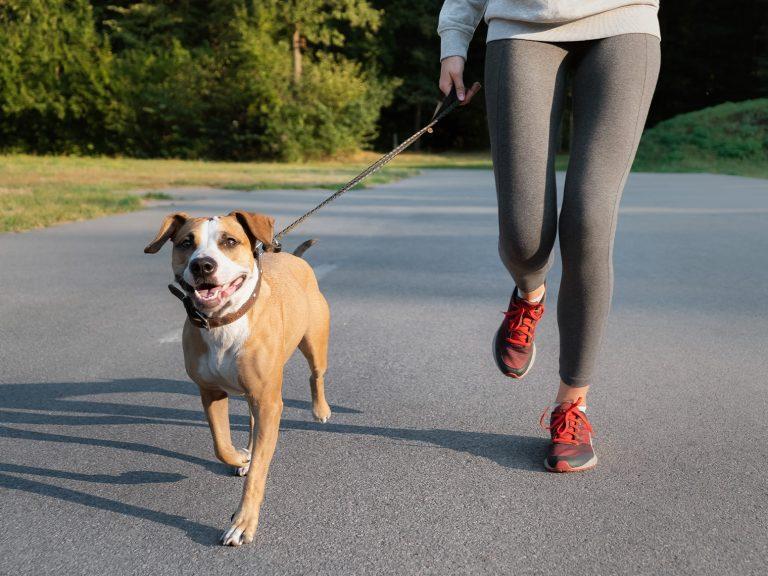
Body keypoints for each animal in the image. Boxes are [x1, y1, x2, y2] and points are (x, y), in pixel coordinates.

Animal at [144, 210, 330, 544]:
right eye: (186, 243)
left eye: (229, 241)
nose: (202, 265)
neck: (223, 322)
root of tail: (294, 259)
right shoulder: (211, 393)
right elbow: (221, 445)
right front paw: (242, 458)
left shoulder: (269, 401)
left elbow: (258, 472)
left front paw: (244, 522)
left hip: (314, 343)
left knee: (316, 375)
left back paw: (320, 410)